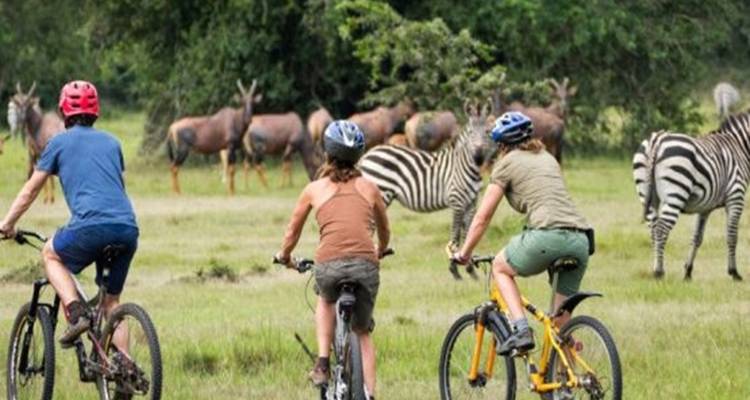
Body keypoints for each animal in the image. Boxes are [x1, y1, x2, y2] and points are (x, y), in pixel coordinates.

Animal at [359, 100, 494, 278]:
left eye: (487, 132)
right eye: (471, 133)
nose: (478, 157)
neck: (465, 166)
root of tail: (367, 155)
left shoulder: (471, 203)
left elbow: (469, 233)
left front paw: (470, 269)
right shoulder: (457, 200)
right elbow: (455, 235)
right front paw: (454, 268)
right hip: (380, 193)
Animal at [632, 112, 750, 281]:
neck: (739, 145)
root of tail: (657, 139)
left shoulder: (705, 206)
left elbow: (697, 238)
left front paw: (688, 272)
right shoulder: (736, 196)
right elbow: (732, 236)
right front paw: (734, 272)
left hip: (647, 196)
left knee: (653, 229)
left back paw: (655, 268)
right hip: (675, 193)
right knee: (661, 230)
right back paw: (659, 272)